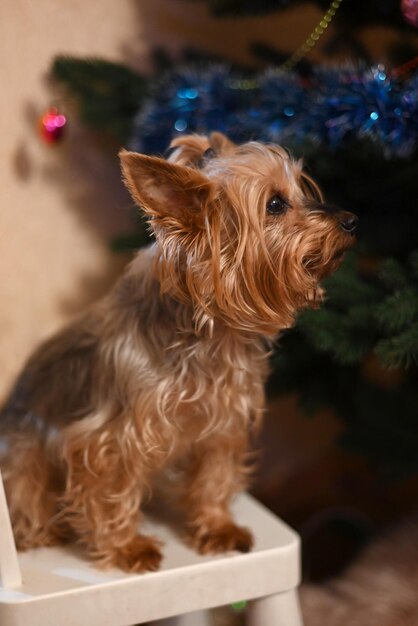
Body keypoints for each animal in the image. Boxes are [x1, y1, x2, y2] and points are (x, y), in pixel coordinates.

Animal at [0, 132, 356, 572]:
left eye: (303, 189)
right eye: (275, 203)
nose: (351, 220)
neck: (212, 334)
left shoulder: (224, 420)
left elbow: (214, 477)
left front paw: (217, 527)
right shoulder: (110, 437)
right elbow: (111, 491)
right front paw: (126, 547)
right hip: (23, 461)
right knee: (29, 505)